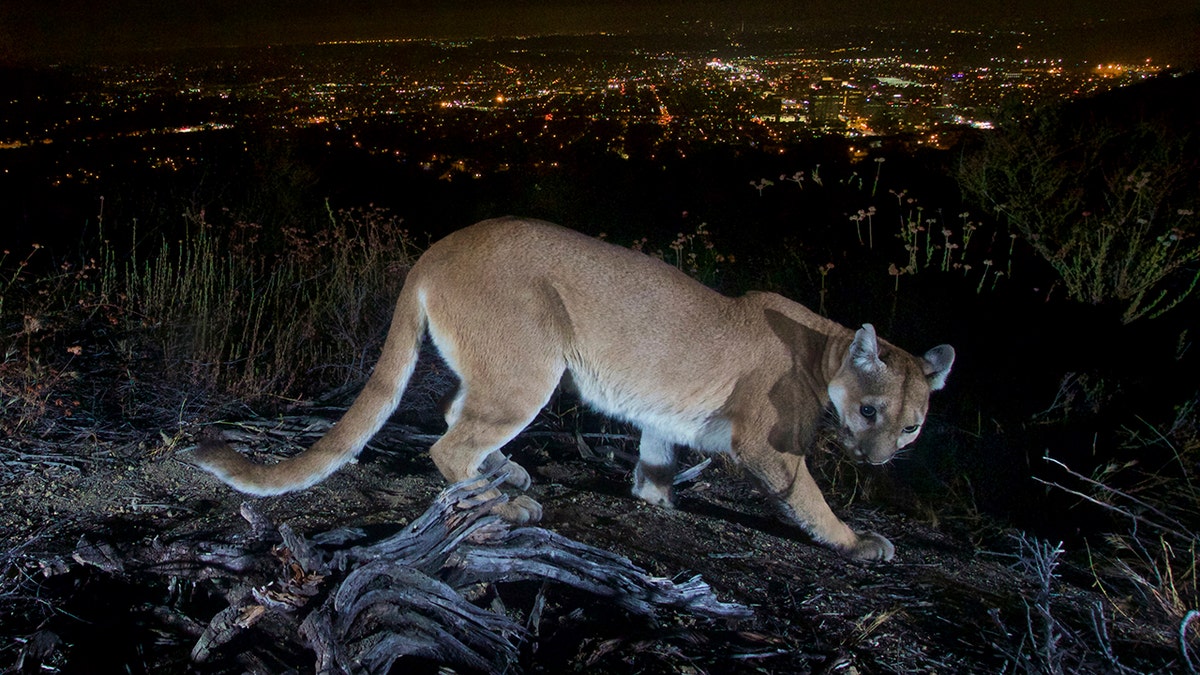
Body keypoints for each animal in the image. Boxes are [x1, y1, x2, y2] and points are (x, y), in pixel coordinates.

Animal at [189, 214, 955, 557]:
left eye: (912, 424)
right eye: (871, 410)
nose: (880, 458)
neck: (825, 347)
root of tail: (438, 247)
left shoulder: (665, 418)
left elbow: (655, 458)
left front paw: (656, 499)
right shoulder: (767, 444)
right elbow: (808, 496)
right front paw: (855, 541)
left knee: (455, 413)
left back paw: (509, 473)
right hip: (534, 364)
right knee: (450, 442)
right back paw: (507, 501)